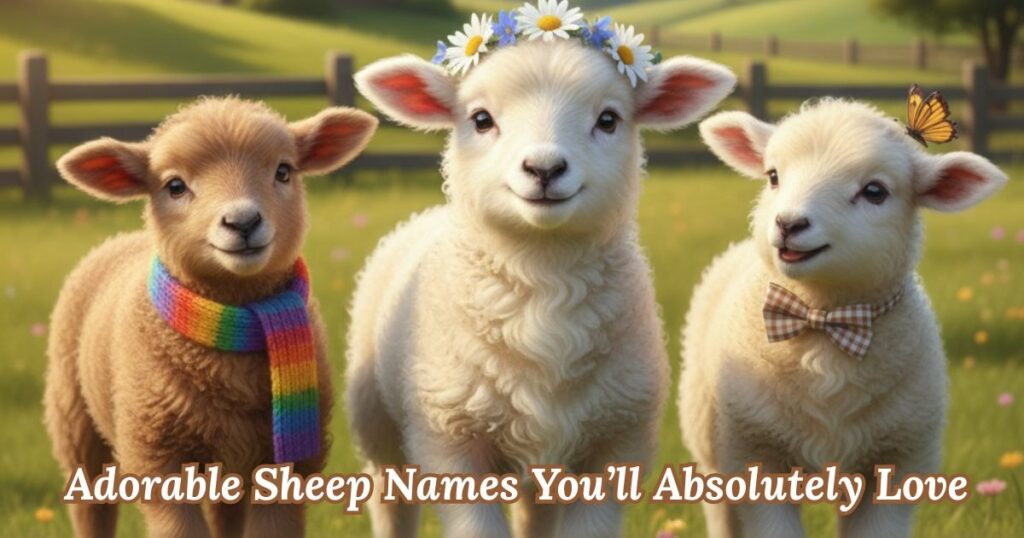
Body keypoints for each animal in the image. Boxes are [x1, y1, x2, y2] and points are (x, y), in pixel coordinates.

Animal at [44, 96, 377, 538]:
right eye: (174, 186)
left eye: (283, 171)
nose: (243, 222)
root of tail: (123, 238)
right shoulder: (156, 457)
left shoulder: (286, 466)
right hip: (73, 419)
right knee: (91, 508)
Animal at [346, 31, 735, 538]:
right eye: (481, 119)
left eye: (608, 119)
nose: (544, 168)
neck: (543, 278)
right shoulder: (450, 439)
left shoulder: (617, 440)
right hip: (378, 425)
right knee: (391, 503)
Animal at [680, 99, 1007, 538]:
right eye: (773, 176)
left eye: (874, 192)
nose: (788, 224)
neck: (824, 320)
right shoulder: (756, 452)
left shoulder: (897, 461)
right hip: (710, 438)